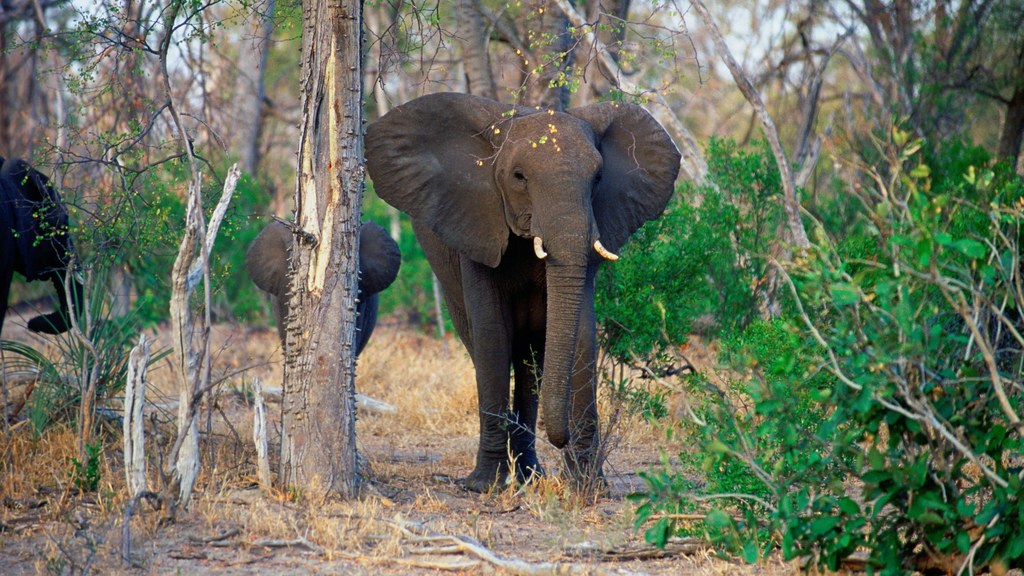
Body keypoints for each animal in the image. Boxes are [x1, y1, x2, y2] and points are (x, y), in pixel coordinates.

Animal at [364, 93, 684, 487]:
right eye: (519, 178)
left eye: (598, 178)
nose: (559, 439)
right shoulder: (478, 222)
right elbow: (492, 335)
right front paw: (486, 485)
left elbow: (581, 334)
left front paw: (588, 486)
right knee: (487, 346)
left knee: (531, 359)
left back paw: (530, 474)